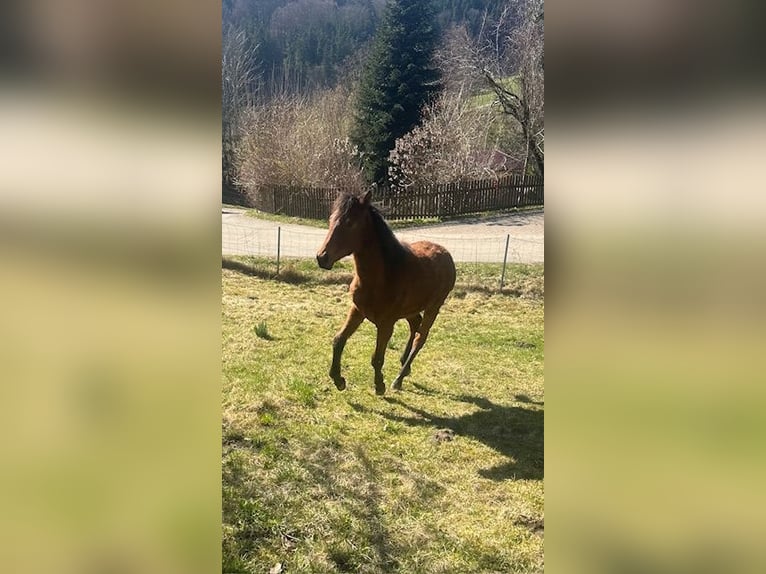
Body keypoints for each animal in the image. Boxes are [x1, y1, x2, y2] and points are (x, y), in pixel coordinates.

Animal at [316, 189, 456, 395]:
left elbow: (377, 357)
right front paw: (338, 380)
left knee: (420, 338)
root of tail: (447, 255)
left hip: (434, 307)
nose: (322, 258)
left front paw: (379, 385)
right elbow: (338, 340)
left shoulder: (386, 323)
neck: (382, 277)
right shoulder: (357, 311)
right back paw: (404, 365)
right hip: (411, 309)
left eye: (350, 223)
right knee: (415, 324)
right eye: (331, 219)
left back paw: (399, 378)